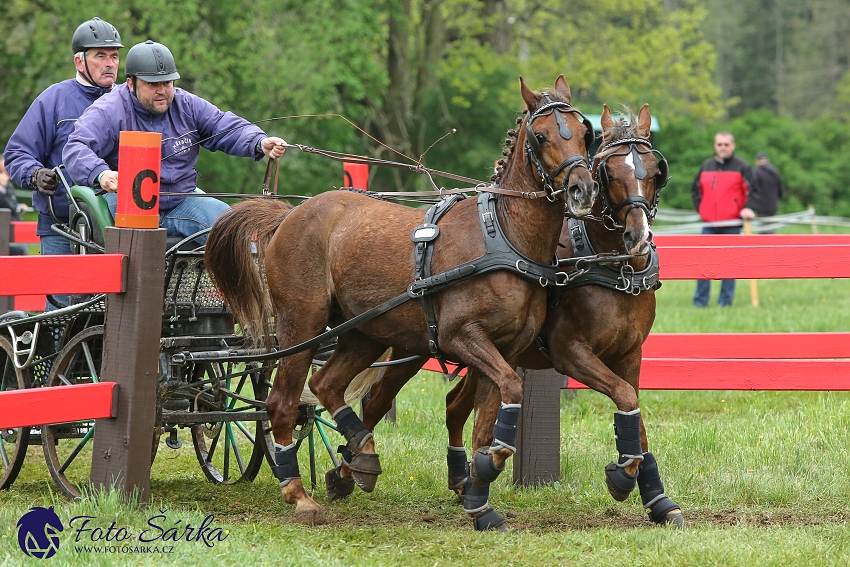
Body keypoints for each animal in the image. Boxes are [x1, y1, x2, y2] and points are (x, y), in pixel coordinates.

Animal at [202, 76, 592, 528]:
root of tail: (287, 216)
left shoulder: (505, 350)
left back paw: (359, 452)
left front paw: (480, 496)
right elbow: (506, 393)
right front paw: (483, 472)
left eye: (584, 133)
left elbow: (489, 416)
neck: (502, 236)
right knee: (282, 403)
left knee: (326, 385)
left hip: (363, 332)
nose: (582, 189)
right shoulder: (462, 337)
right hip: (302, 324)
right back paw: (299, 493)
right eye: (542, 135)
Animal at [358, 102, 684, 528]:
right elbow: (626, 398)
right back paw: (354, 466)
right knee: (377, 401)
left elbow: (635, 412)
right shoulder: (571, 354)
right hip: (411, 346)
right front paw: (622, 479)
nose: (638, 237)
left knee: (455, 406)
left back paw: (463, 481)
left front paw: (657, 499)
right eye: (609, 172)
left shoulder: (630, 355)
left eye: (654, 170)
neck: (612, 266)